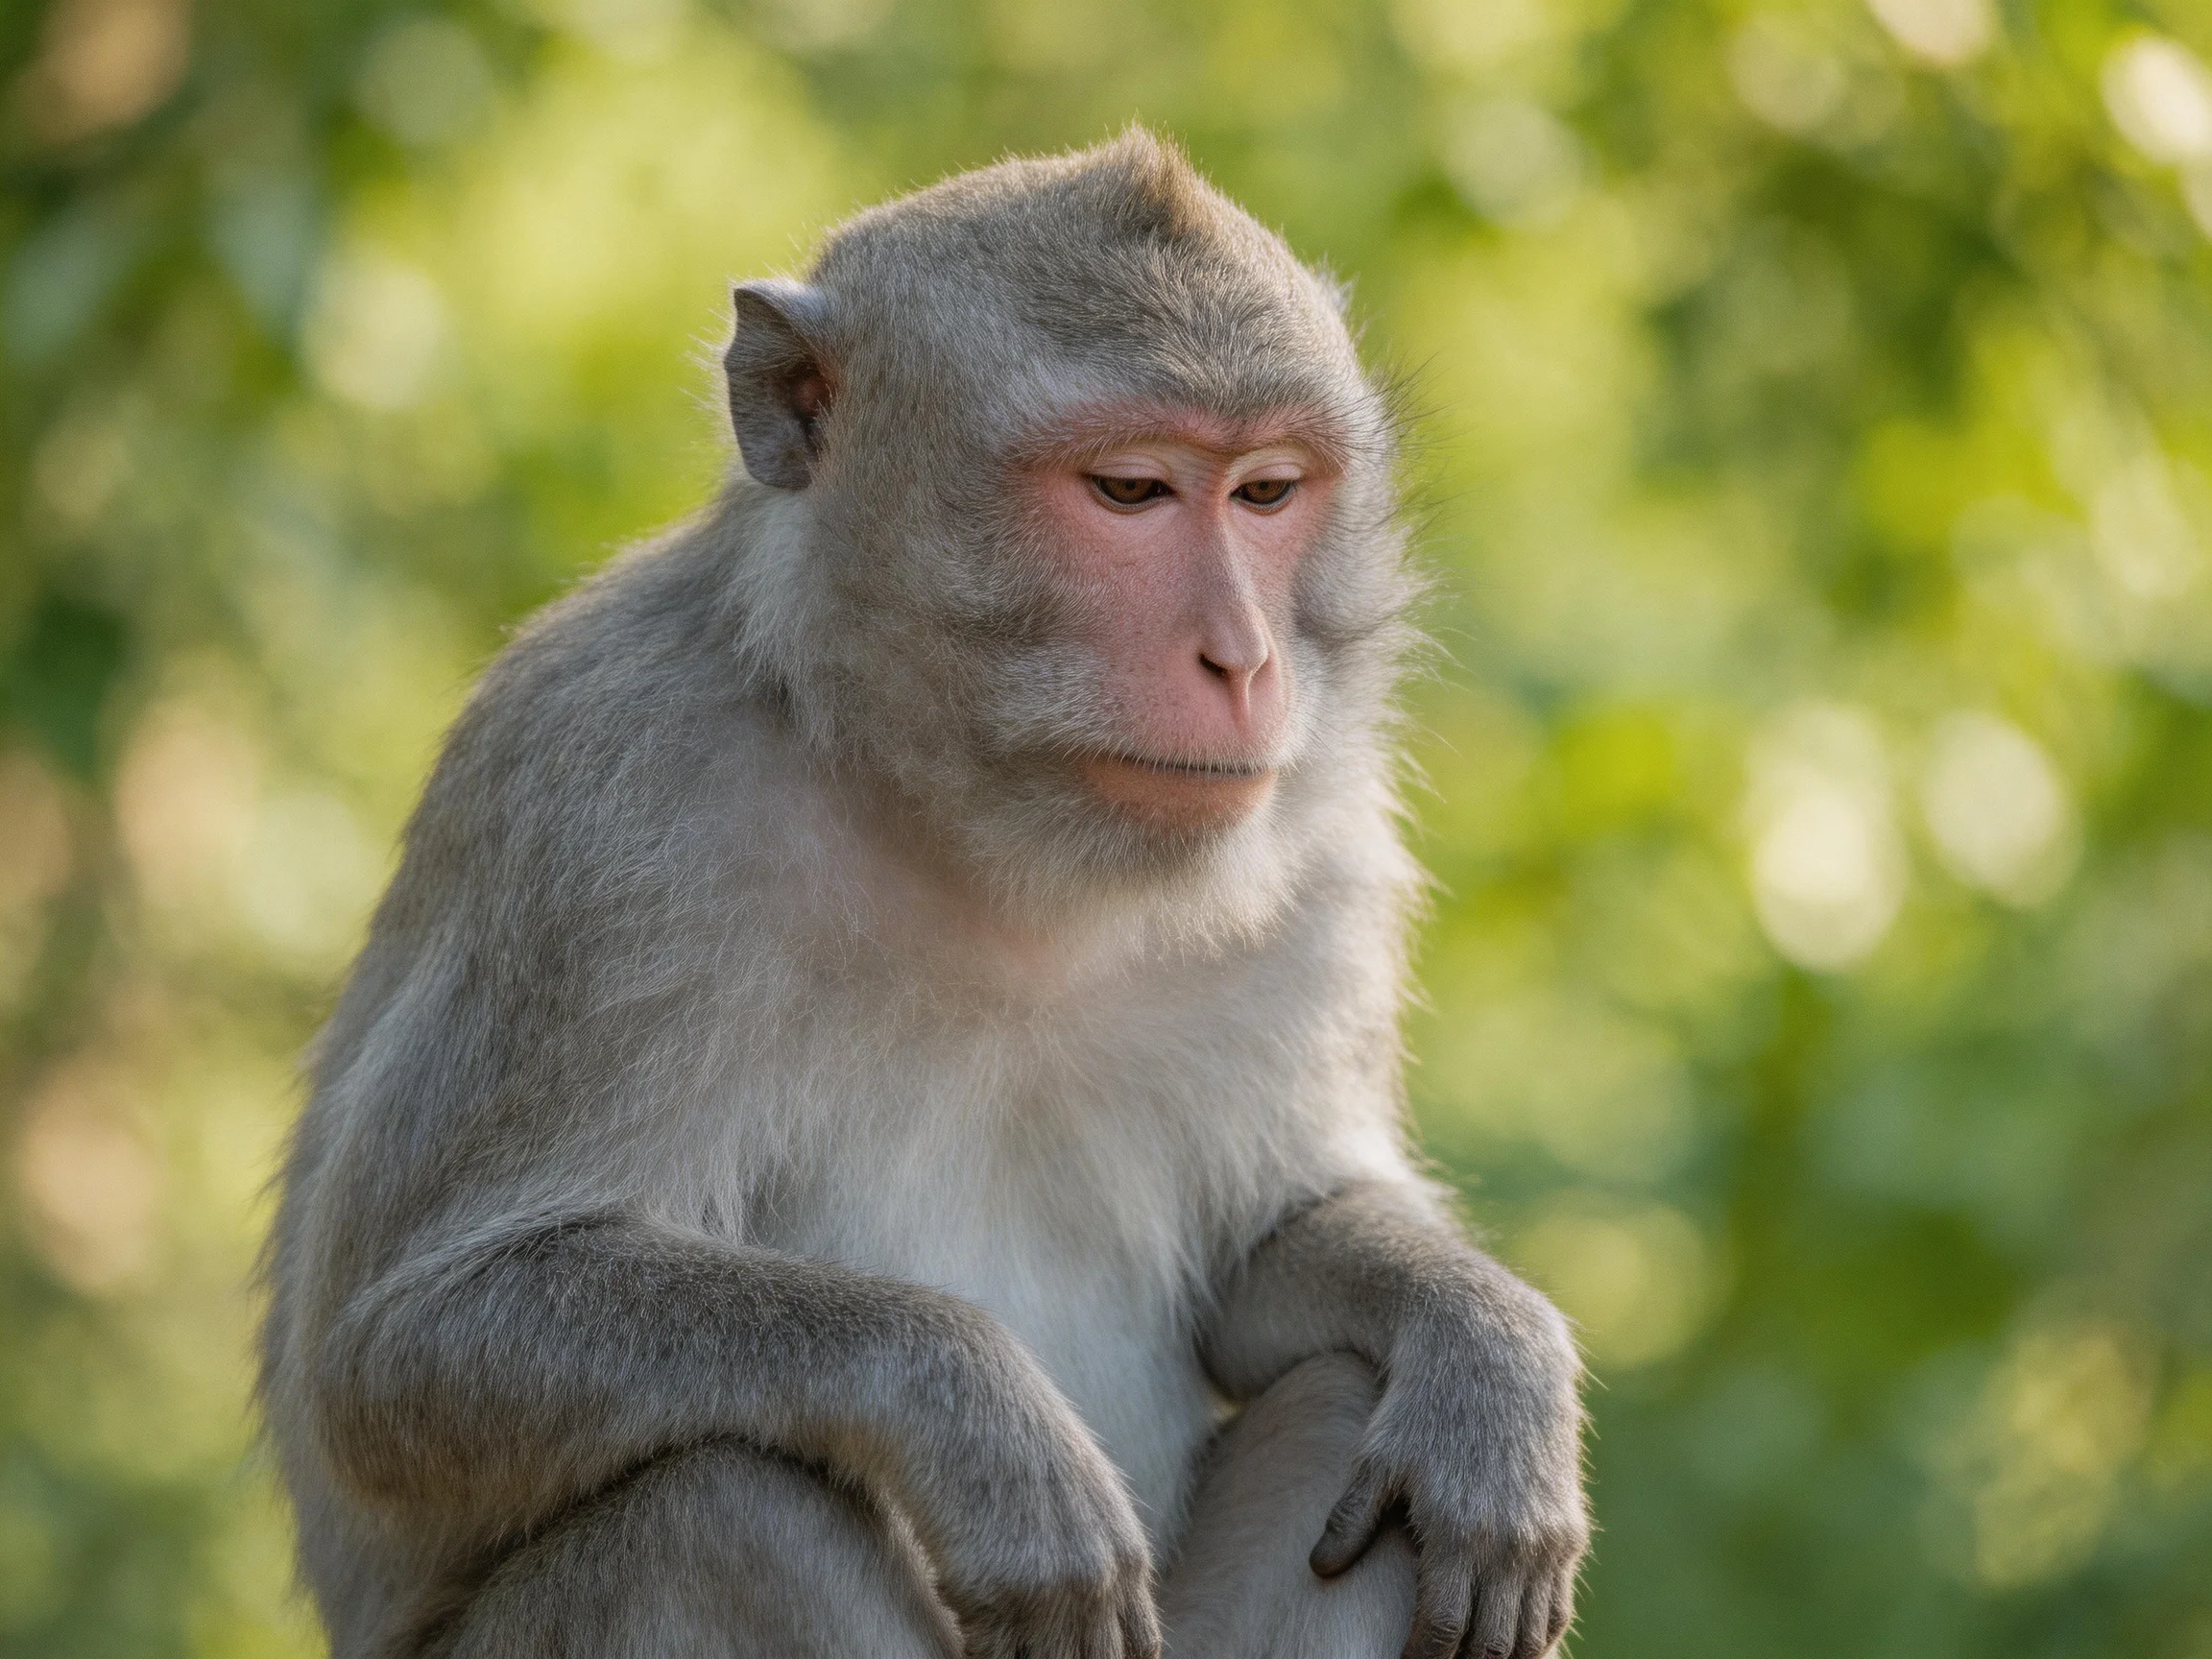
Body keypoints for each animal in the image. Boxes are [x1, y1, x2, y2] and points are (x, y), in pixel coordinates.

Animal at [258, 129, 1589, 1659]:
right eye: (1129, 491)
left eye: (1267, 493)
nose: (1245, 661)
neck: (972, 840)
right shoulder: (598, 808)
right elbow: (392, 1353)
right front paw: (972, 1414)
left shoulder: (1325, 862)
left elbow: (1273, 1245)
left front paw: (1486, 1345)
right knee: (720, 1508)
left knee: (1351, 1410)